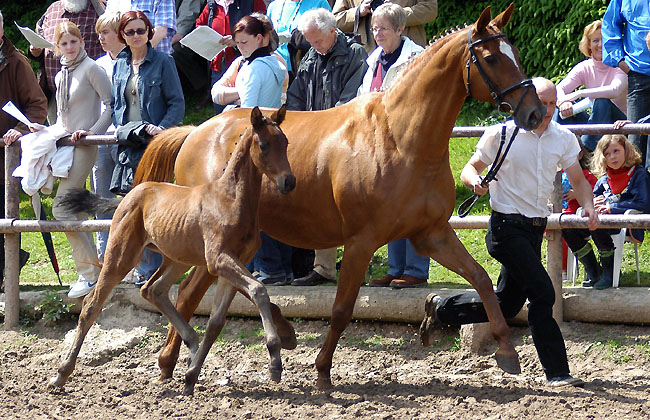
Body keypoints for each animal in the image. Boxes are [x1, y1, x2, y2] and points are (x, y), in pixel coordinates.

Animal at [49, 105, 292, 394]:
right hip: (122, 255)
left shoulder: (235, 262)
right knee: (91, 305)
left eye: (285, 142)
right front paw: (275, 360)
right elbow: (258, 290)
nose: (289, 182)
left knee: (152, 289)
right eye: (264, 145)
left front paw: (192, 375)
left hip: (178, 258)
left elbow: (217, 321)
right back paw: (60, 374)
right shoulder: (218, 259)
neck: (230, 199)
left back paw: (192, 344)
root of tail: (131, 193)